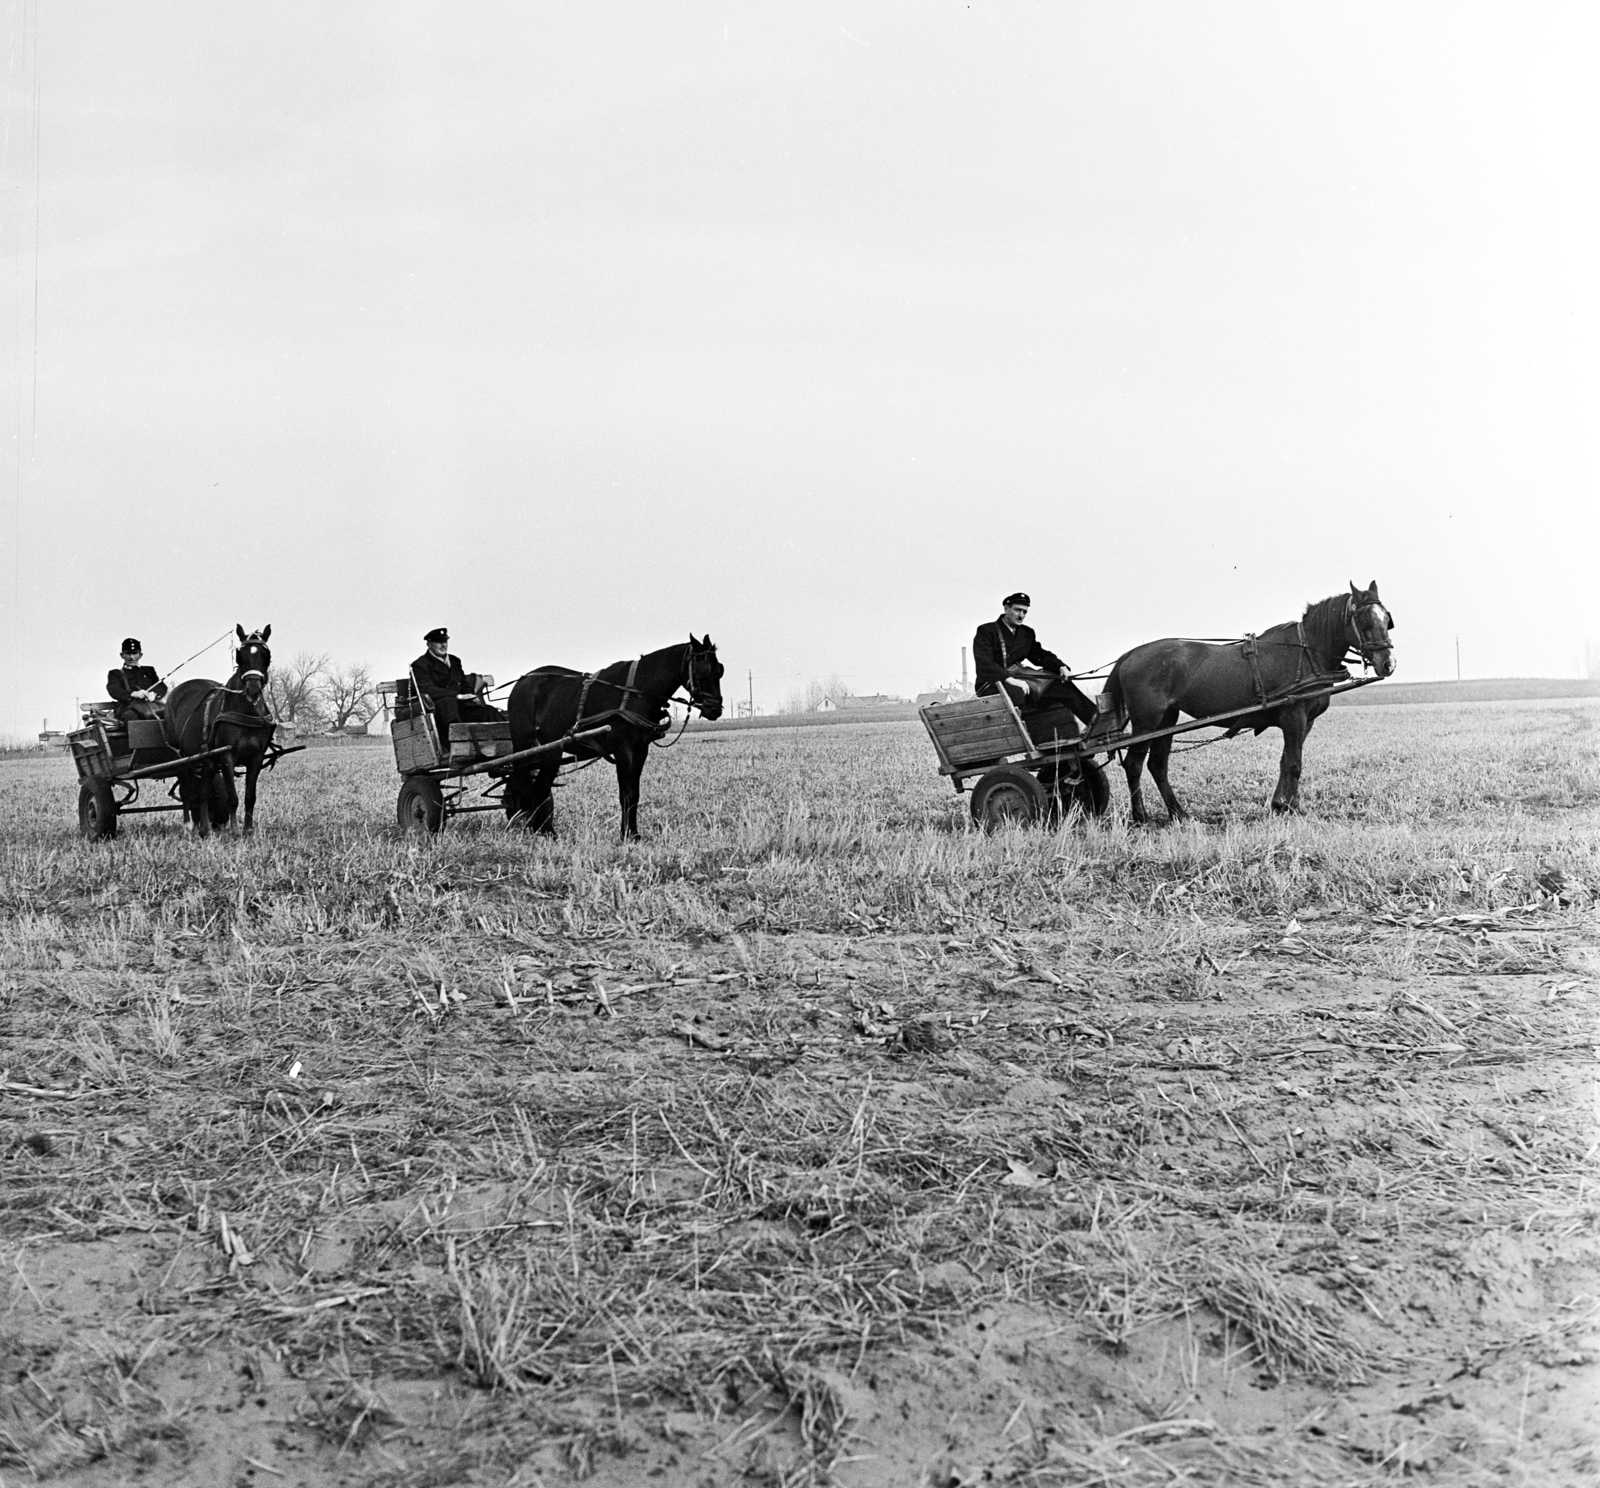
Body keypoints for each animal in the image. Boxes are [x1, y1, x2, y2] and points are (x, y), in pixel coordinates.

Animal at [165, 624, 278, 832]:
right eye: (240, 655)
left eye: (266, 655)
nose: (253, 690)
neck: (245, 711)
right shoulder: (227, 756)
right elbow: (232, 798)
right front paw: (234, 830)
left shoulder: (256, 757)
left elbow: (250, 797)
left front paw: (248, 830)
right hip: (181, 757)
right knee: (186, 791)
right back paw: (188, 825)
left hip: (206, 759)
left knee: (202, 791)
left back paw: (204, 828)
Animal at [505, 633, 726, 838]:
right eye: (702, 670)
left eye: (720, 670)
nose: (715, 710)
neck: (637, 692)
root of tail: (523, 680)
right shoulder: (623, 750)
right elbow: (626, 794)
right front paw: (626, 835)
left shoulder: (640, 751)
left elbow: (635, 794)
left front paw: (633, 833)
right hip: (530, 747)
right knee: (526, 786)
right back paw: (531, 826)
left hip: (550, 751)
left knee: (539, 787)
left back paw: (542, 830)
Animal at [1107, 579, 1395, 825]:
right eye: (1364, 620)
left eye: (1386, 619)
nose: (1388, 664)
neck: (1307, 652)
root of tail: (1130, 655)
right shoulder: (1294, 717)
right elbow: (1294, 763)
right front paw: (1294, 807)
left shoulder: (1306, 721)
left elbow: (1285, 760)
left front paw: (1279, 805)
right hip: (1147, 721)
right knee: (1134, 764)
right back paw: (1141, 816)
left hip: (1167, 719)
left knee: (1157, 765)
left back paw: (1179, 813)